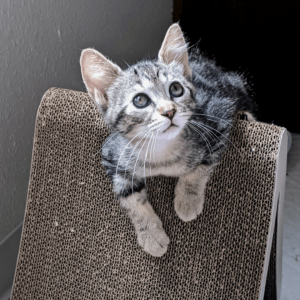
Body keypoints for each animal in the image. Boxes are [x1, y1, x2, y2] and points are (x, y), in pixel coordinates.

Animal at [79, 24, 255, 258]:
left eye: (176, 89)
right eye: (140, 100)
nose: (169, 111)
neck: (162, 154)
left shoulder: (217, 117)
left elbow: (200, 167)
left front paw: (187, 199)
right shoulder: (113, 154)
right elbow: (130, 197)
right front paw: (150, 234)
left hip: (232, 86)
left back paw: (246, 115)